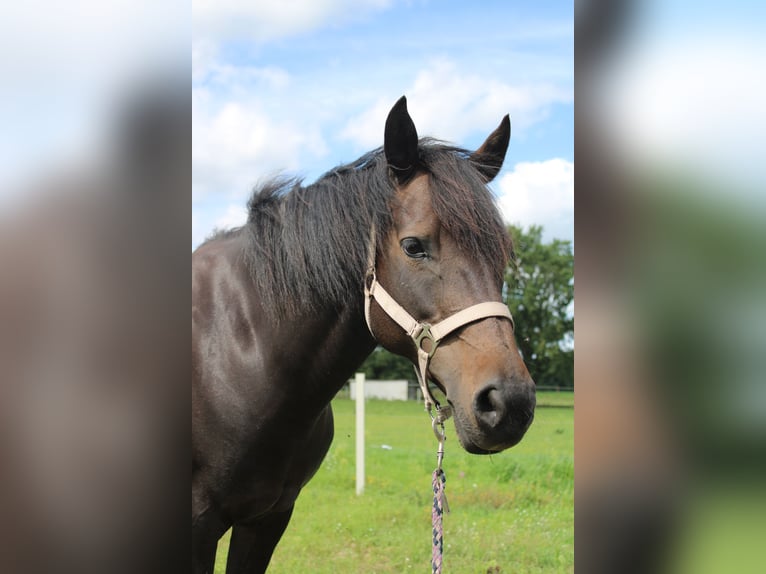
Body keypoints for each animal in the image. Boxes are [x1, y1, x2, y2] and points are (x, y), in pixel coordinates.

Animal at [195, 97, 536, 572]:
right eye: (413, 246)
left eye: (503, 253)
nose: (510, 404)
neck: (237, 354)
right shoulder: (198, 524)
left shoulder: (267, 519)